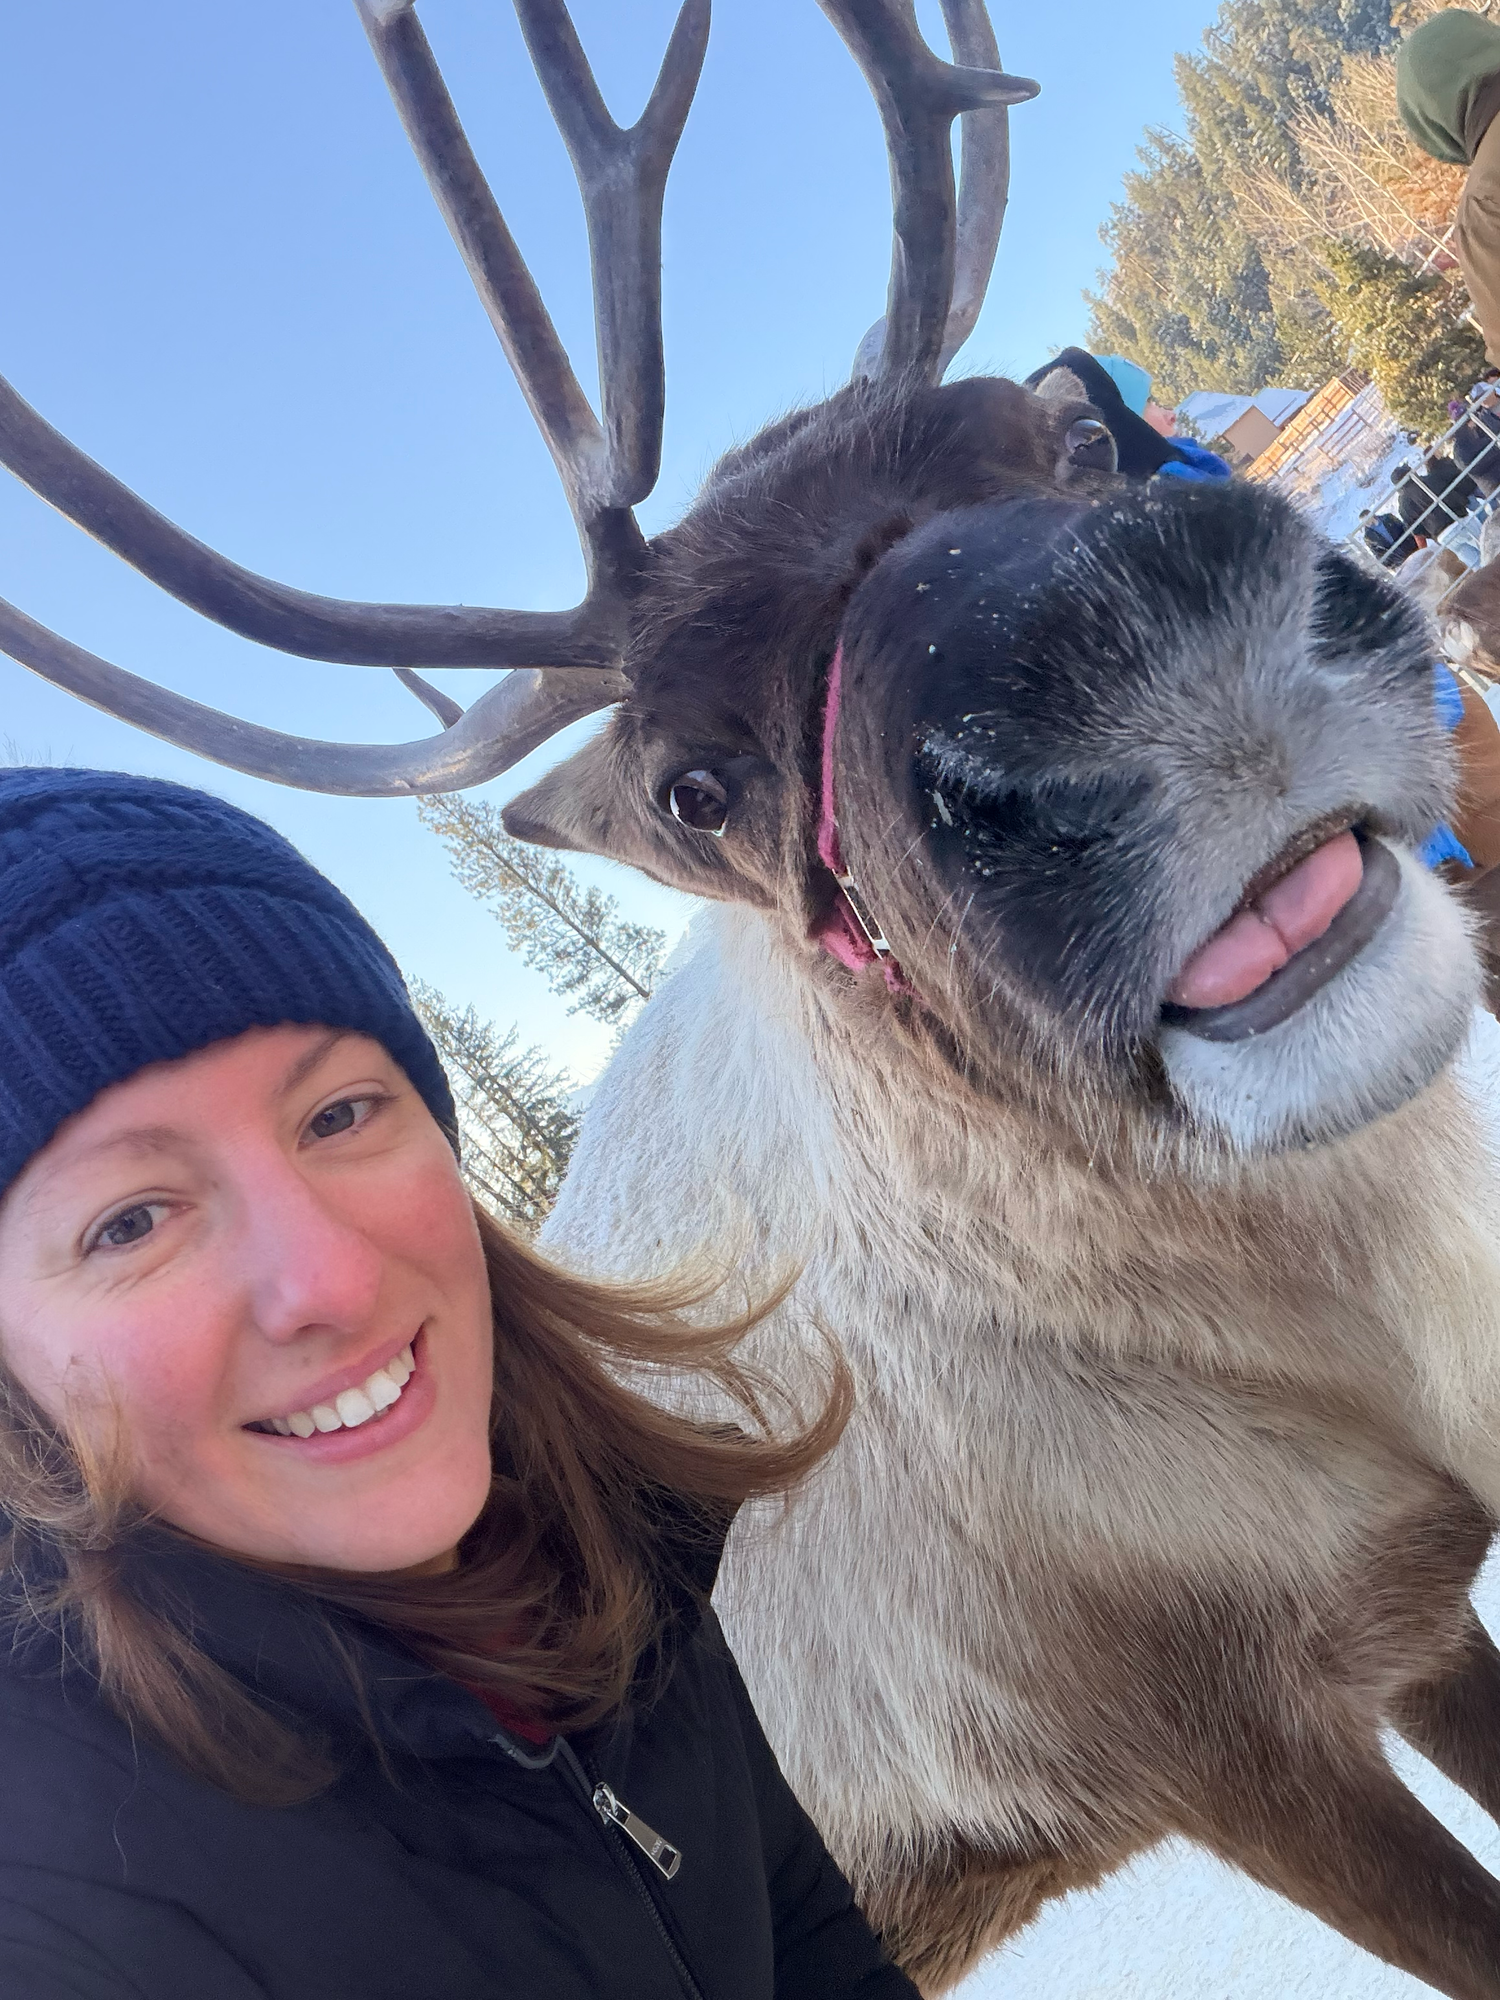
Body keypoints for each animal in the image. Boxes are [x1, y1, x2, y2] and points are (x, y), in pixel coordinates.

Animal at [4, 4, 1500, 1996]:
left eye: (1066, 431)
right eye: (693, 790)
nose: (1135, 670)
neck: (1352, 1324)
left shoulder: (1420, 1598)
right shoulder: (1220, 1745)